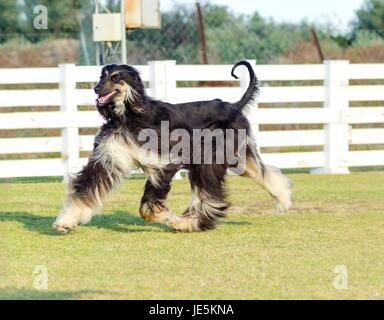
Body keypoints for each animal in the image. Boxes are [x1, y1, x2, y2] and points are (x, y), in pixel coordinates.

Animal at [53, 61, 292, 234]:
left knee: (210, 194)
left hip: (211, 155)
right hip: (235, 157)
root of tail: (234, 106)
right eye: (101, 76)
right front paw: (66, 222)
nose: (96, 89)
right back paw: (283, 198)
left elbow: (147, 205)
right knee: (259, 171)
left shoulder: (164, 161)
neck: (130, 116)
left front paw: (164, 215)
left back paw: (187, 223)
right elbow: (86, 187)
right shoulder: (109, 157)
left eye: (116, 78)